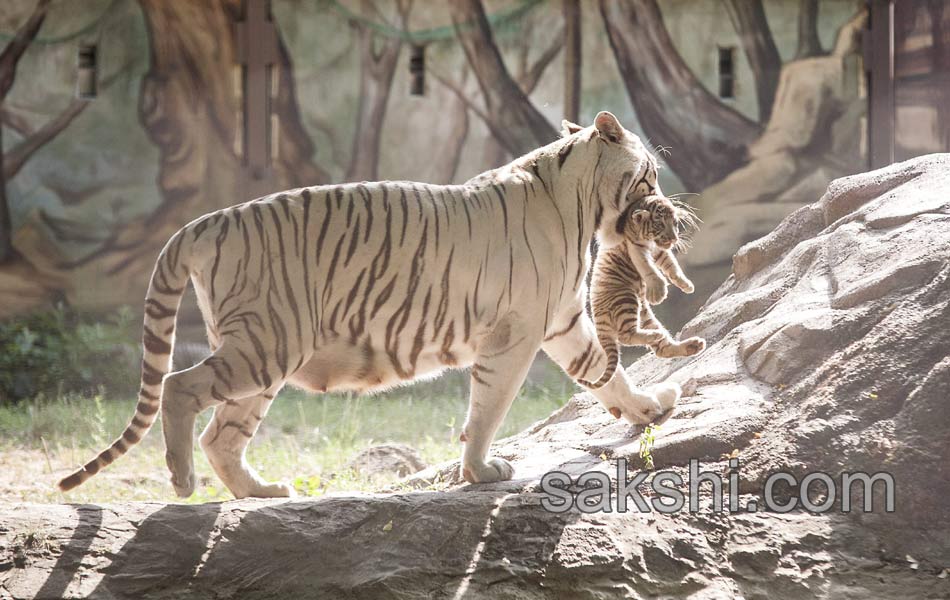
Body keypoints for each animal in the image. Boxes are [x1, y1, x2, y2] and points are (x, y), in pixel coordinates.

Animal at [59, 111, 680, 496]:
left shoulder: (563, 323)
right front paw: (482, 470)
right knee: (176, 387)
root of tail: (204, 221)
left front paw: (650, 408)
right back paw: (183, 481)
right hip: (263, 346)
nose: (666, 202)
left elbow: (605, 372)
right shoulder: (516, 334)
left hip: (261, 354)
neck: (579, 204)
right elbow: (488, 408)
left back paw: (261, 493)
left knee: (222, 435)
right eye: (648, 172)